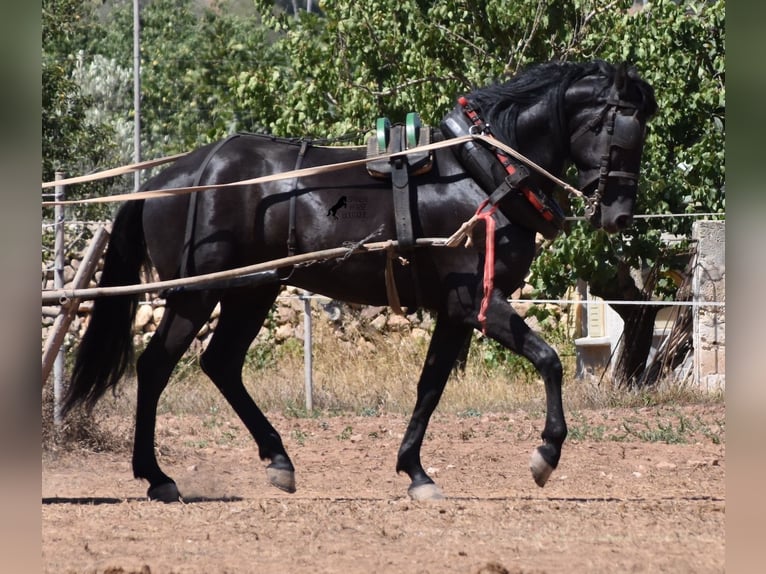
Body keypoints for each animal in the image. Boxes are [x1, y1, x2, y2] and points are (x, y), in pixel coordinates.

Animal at [63, 60, 656, 504]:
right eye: (624, 134)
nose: (620, 216)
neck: (481, 170)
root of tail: (171, 178)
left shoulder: (453, 311)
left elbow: (430, 386)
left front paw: (415, 472)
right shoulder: (477, 300)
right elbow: (549, 360)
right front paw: (545, 455)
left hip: (253, 290)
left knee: (221, 364)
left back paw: (277, 459)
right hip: (197, 293)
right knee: (156, 367)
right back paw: (157, 477)